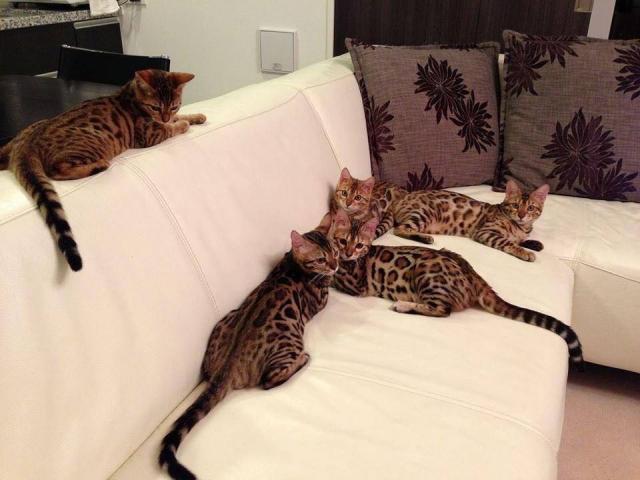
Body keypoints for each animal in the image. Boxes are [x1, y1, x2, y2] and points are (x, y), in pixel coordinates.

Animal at [0, 69, 206, 271]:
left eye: (174, 106)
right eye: (155, 107)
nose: (165, 116)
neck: (130, 95)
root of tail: (26, 144)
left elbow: (180, 117)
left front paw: (196, 116)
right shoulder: (151, 134)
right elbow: (172, 128)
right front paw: (183, 124)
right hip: (97, 144)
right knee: (57, 169)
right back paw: (99, 166)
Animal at [159, 216, 338, 480]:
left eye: (335, 252)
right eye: (321, 259)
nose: (336, 266)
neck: (293, 265)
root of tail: (227, 366)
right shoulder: (321, 300)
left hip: (224, 321)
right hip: (290, 343)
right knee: (270, 380)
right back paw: (302, 360)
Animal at [329, 209, 584, 367]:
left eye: (358, 245)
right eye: (342, 241)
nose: (348, 253)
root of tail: (475, 276)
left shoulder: (355, 284)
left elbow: (333, 275)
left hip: (426, 271)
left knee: (442, 310)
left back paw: (403, 305)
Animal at [333, 168, 549, 262]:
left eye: (531, 208)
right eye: (515, 206)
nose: (521, 215)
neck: (519, 226)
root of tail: (399, 200)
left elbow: (521, 239)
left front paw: (533, 243)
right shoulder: (486, 232)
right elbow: (508, 242)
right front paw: (525, 252)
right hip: (424, 214)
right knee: (399, 229)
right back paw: (425, 238)